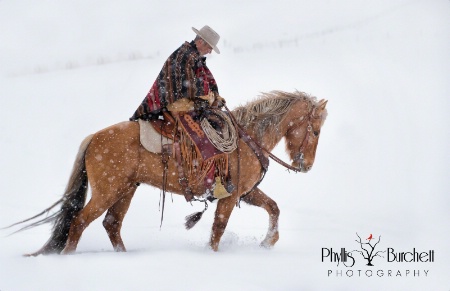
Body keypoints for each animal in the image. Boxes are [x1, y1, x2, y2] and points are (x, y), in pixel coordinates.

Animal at [10, 90, 326, 256]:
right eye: (316, 130)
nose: (306, 165)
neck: (248, 138)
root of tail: (94, 138)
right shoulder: (230, 195)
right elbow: (218, 228)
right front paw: (214, 254)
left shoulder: (246, 193)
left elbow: (273, 207)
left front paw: (267, 241)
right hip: (107, 191)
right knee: (79, 222)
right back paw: (68, 258)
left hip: (126, 190)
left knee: (111, 224)